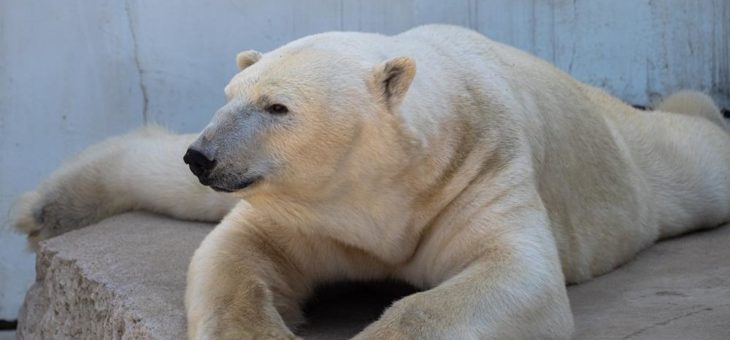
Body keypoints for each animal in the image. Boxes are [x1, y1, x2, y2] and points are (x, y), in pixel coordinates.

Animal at [11, 25, 728, 338]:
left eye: (278, 106)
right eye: (231, 95)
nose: (204, 155)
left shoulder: (480, 171)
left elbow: (514, 275)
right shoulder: (297, 209)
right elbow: (233, 256)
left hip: (644, 162)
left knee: (698, 157)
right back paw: (44, 208)